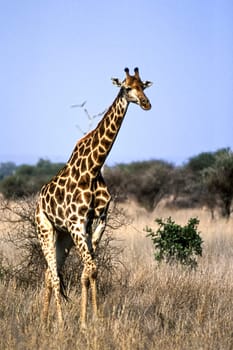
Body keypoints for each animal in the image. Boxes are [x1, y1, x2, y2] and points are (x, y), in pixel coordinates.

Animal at [34, 67, 151, 328]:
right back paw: (58, 324)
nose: (146, 104)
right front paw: (84, 322)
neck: (93, 169)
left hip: (63, 237)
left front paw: (93, 318)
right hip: (45, 229)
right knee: (54, 275)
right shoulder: (77, 224)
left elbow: (89, 272)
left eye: (143, 87)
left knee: (48, 273)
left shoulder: (97, 222)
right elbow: (90, 268)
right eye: (127, 87)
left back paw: (44, 321)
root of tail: (38, 200)